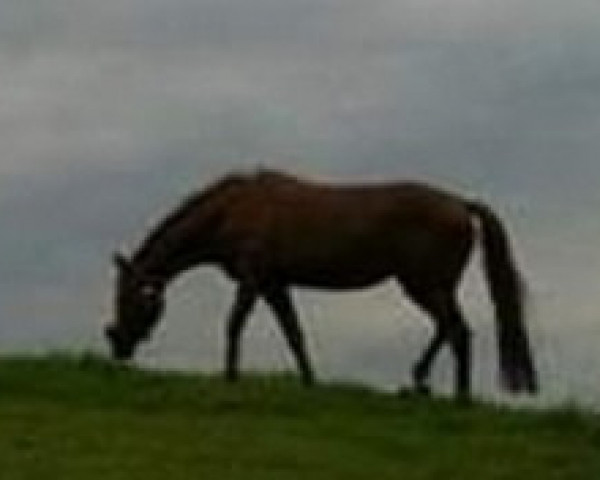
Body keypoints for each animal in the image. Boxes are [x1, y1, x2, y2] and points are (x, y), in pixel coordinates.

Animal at [106, 169, 540, 398]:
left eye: (128, 298)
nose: (117, 345)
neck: (234, 210)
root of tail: (461, 204)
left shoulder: (253, 278)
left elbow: (235, 323)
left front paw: (230, 377)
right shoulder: (274, 284)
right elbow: (293, 332)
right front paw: (309, 381)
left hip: (424, 284)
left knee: (457, 331)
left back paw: (458, 397)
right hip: (428, 286)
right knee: (447, 328)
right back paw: (419, 382)